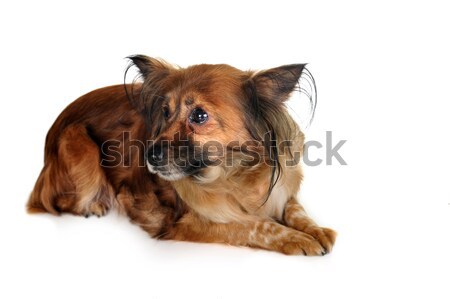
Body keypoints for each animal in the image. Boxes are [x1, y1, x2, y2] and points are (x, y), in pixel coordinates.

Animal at [26, 55, 336, 255]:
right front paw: (295, 238)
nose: (149, 156)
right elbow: (253, 224)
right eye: (165, 112)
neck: (234, 171)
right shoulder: (184, 222)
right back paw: (94, 204)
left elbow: (295, 209)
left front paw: (316, 229)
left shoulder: (283, 191)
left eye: (199, 115)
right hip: (76, 138)